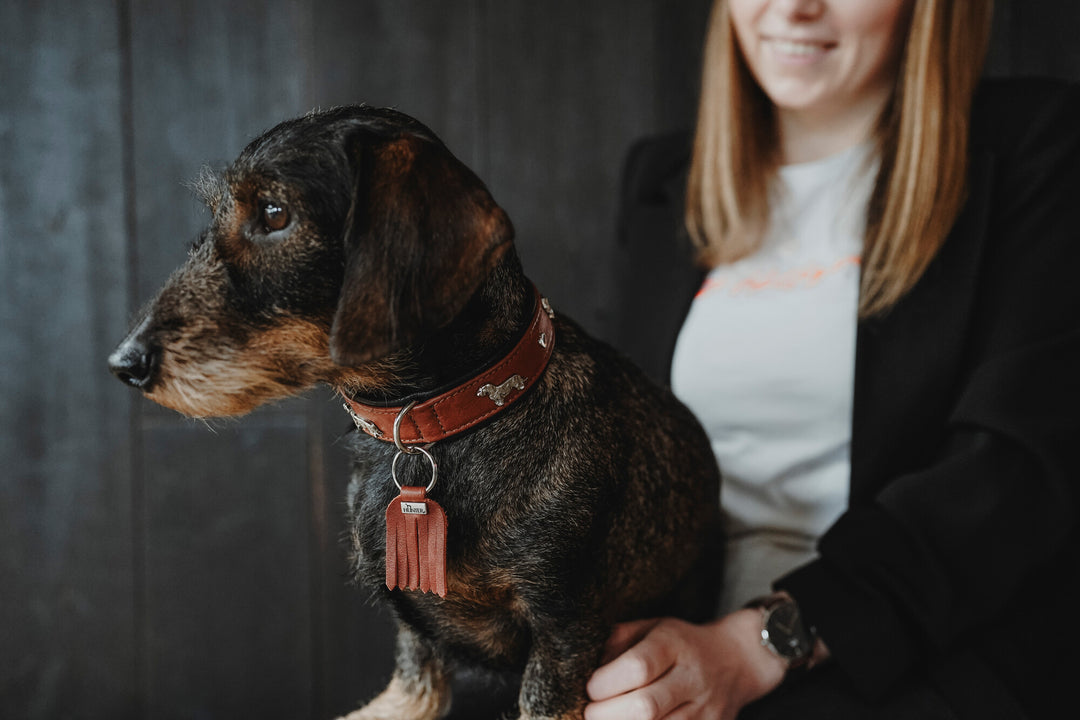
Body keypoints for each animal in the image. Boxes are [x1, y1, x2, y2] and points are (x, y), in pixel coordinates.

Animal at [109, 106, 721, 720]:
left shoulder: (565, 622)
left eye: (275, 214)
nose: (124, 363)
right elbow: (413, 681)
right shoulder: (415, 623)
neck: (444, 420)